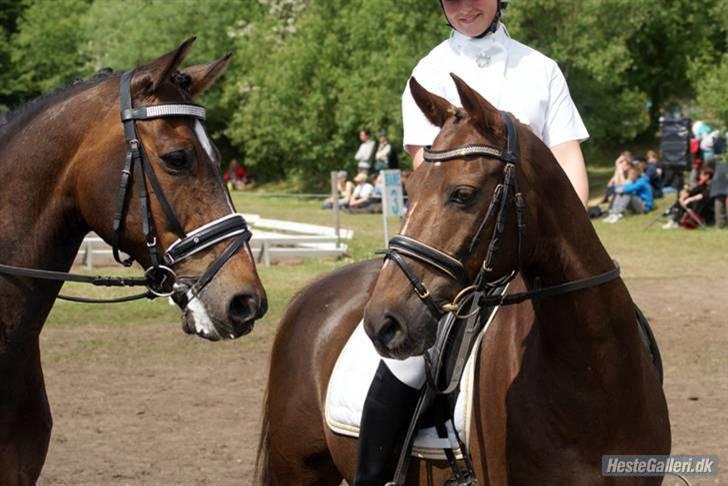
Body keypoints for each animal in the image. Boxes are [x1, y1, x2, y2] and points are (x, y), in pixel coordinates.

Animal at [258, 75, 672, 482]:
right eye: (408, 189)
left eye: (462, 194)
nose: (381, 323)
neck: (593, 373)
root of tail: (311, 292)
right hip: (299, 467)